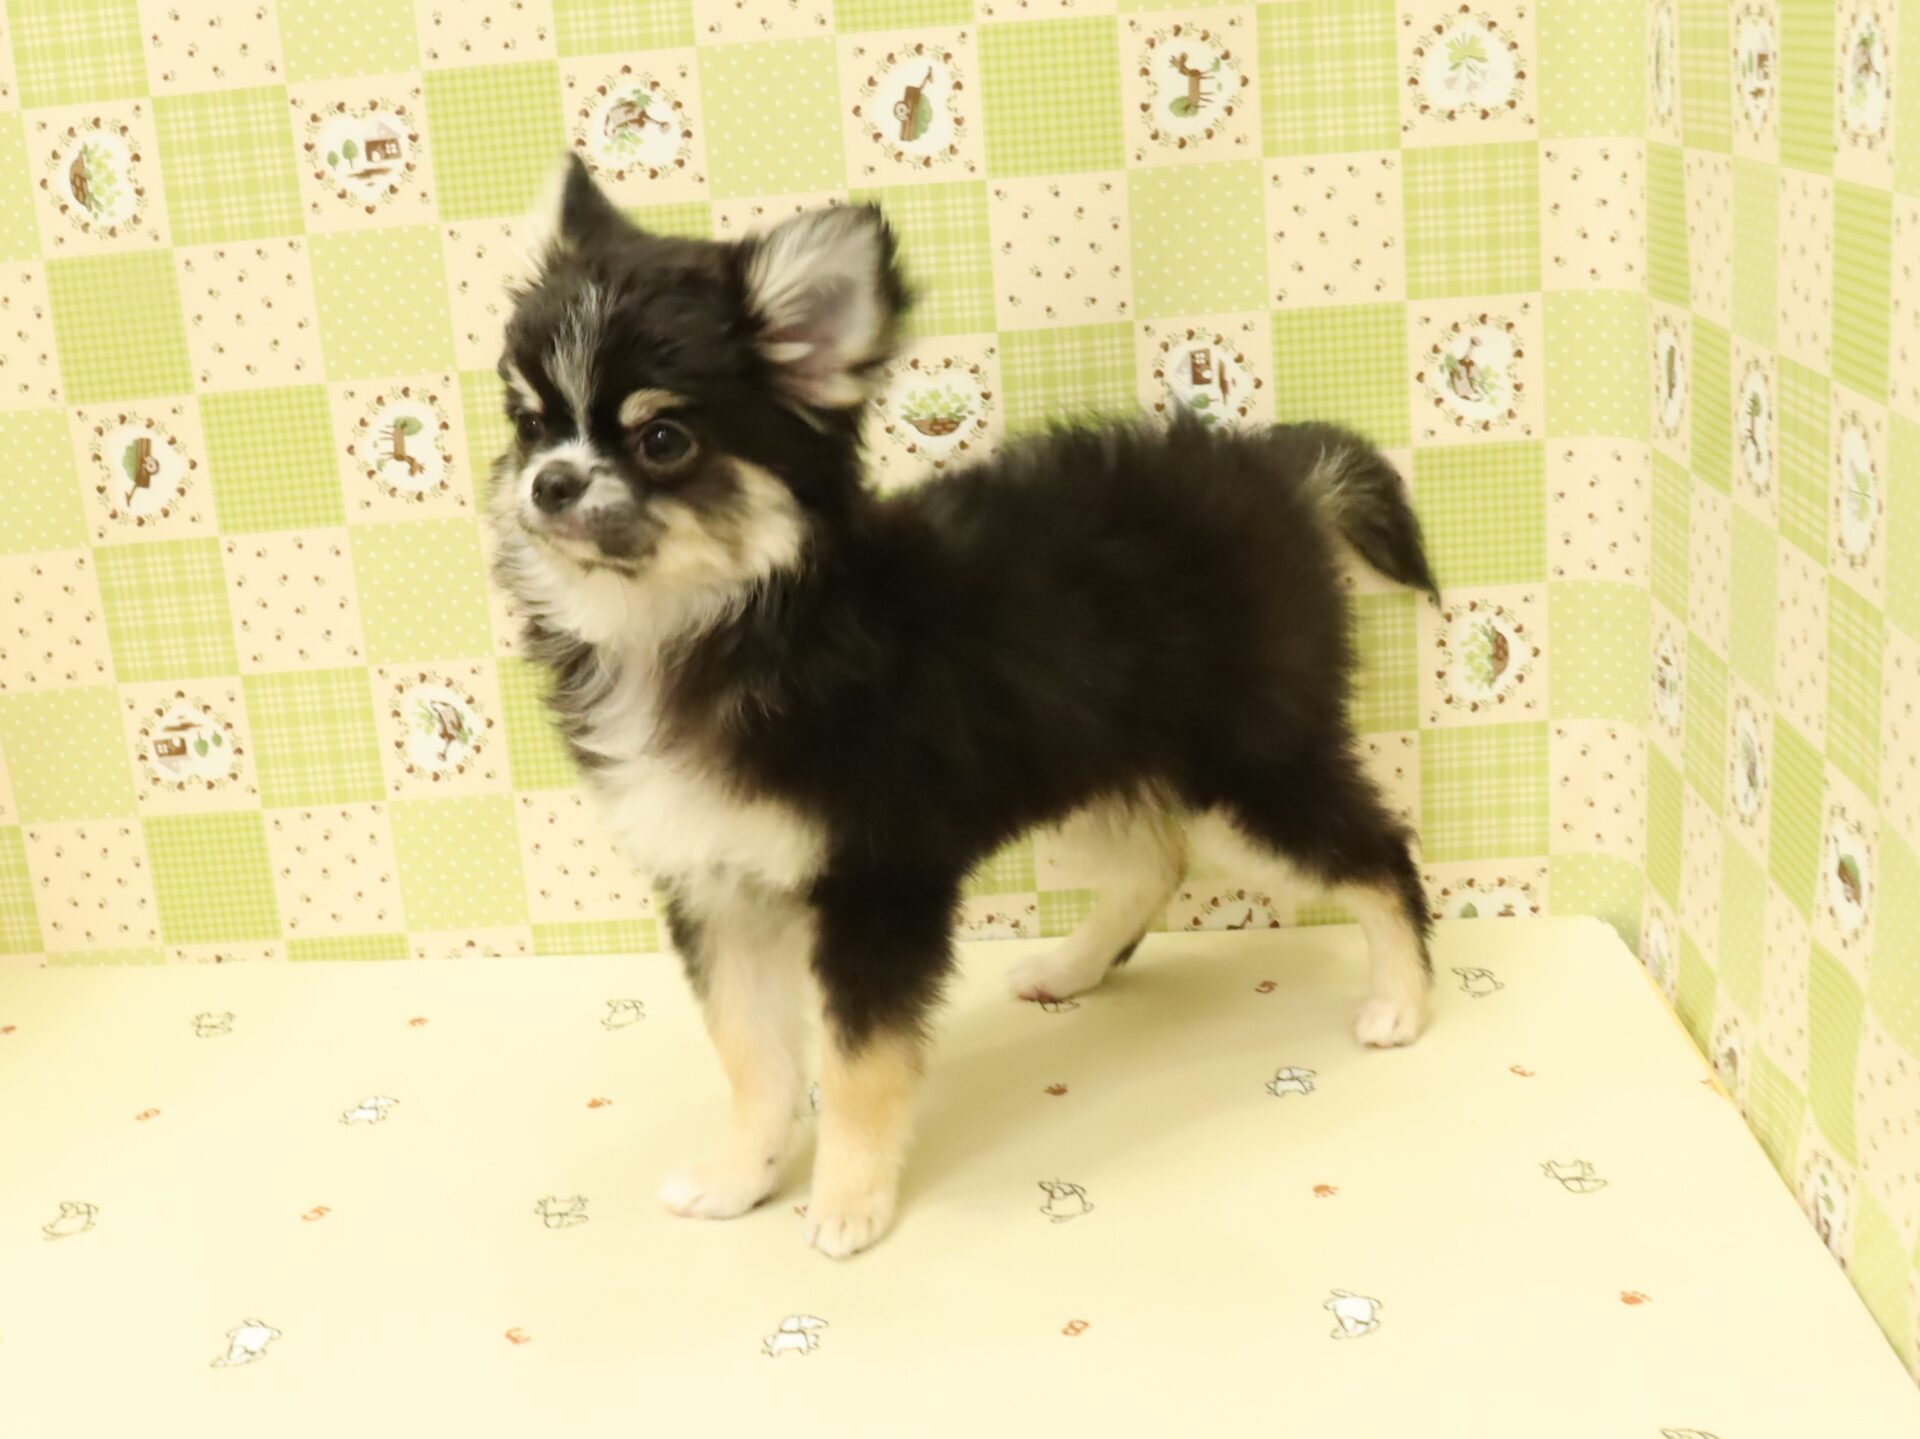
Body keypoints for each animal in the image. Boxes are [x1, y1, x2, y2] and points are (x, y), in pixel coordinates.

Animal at [486, 156, 1440, 1258]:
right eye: (529, 421)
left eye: (664, 439)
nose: (549, 483)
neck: (701, 626)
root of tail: (1271, 473)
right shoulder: (715, 883)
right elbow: (753, 1053)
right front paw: (742, 1176)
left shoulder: (877, 883)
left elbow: (857, 1062)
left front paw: (847, 1202)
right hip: (1090, 750)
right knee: (1156, 860)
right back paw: (1074, 967)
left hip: (1242, 764)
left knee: (1376, 851)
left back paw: (1404, 1000)